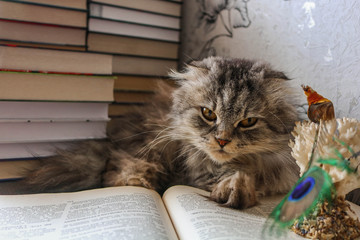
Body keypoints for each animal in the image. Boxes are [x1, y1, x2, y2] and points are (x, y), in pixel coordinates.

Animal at [23, 57, 300, 209]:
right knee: (115, 172)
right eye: (208, 114)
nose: (222, 140)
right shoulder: (197, 172)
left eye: (248, 122)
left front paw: (238, 186)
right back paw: (141, 184)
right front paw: (234, 187)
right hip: (148, 148)